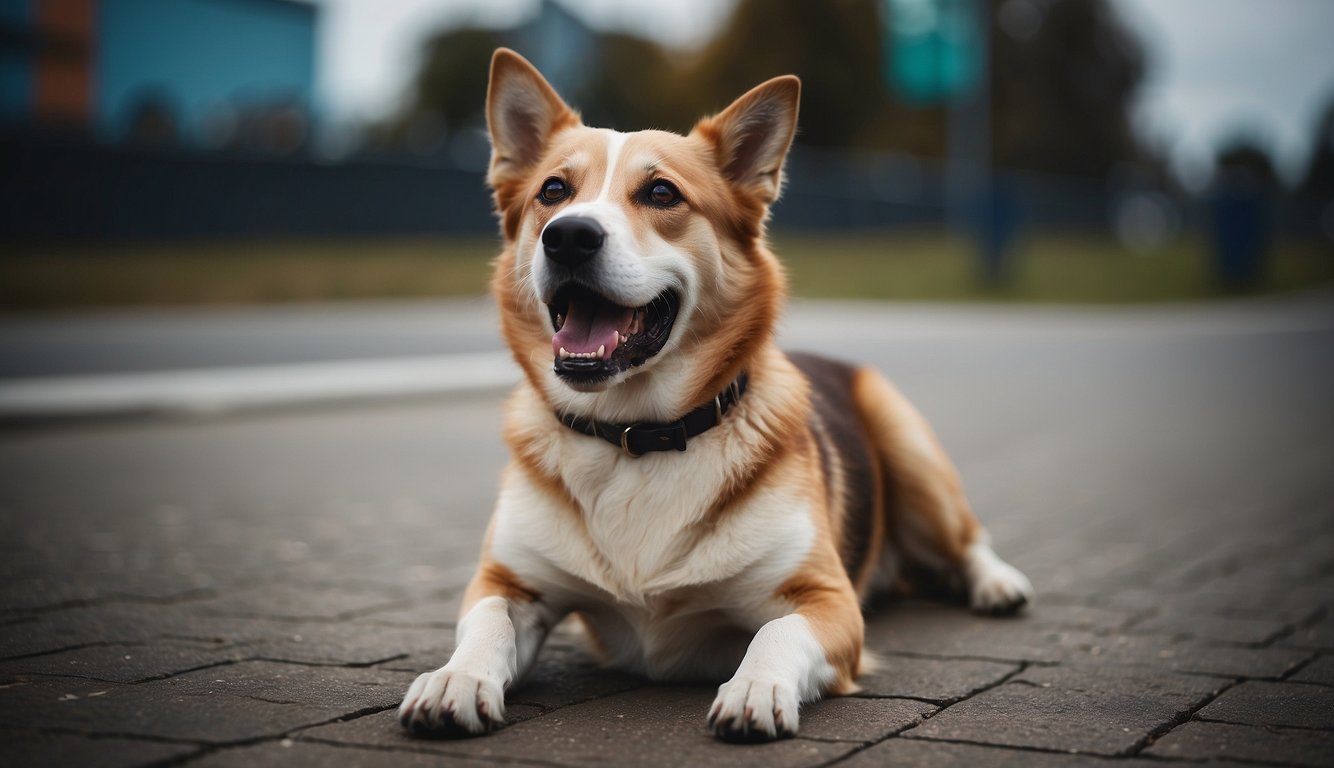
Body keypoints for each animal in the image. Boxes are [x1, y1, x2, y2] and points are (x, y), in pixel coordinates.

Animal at [394, 49, 1029, 746]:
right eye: (553, 192)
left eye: (661, 193)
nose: (568, 236)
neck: (635, 438)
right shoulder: (506, 582)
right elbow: (487, 626)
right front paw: (455, 679)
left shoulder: (828, 600)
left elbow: (776, 632)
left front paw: (755, 688)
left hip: (909, 449)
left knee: (970, 539)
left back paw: (999, 585)